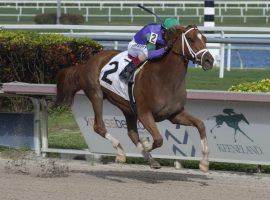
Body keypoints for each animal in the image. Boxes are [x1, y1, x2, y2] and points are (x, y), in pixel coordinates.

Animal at [56, 25, 214, 172]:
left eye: (205, 39)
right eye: (191, 39)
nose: (209, 60)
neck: (165, 79)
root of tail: (86, 63)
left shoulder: (175, 114)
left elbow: (200, 124)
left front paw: (204, 163)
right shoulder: (144, 114)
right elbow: (158, 139)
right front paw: (146, 144)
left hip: (128, 108)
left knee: (131, 133)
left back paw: (150, 160)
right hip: (96, 94)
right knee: (99, 126)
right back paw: (120, 152)